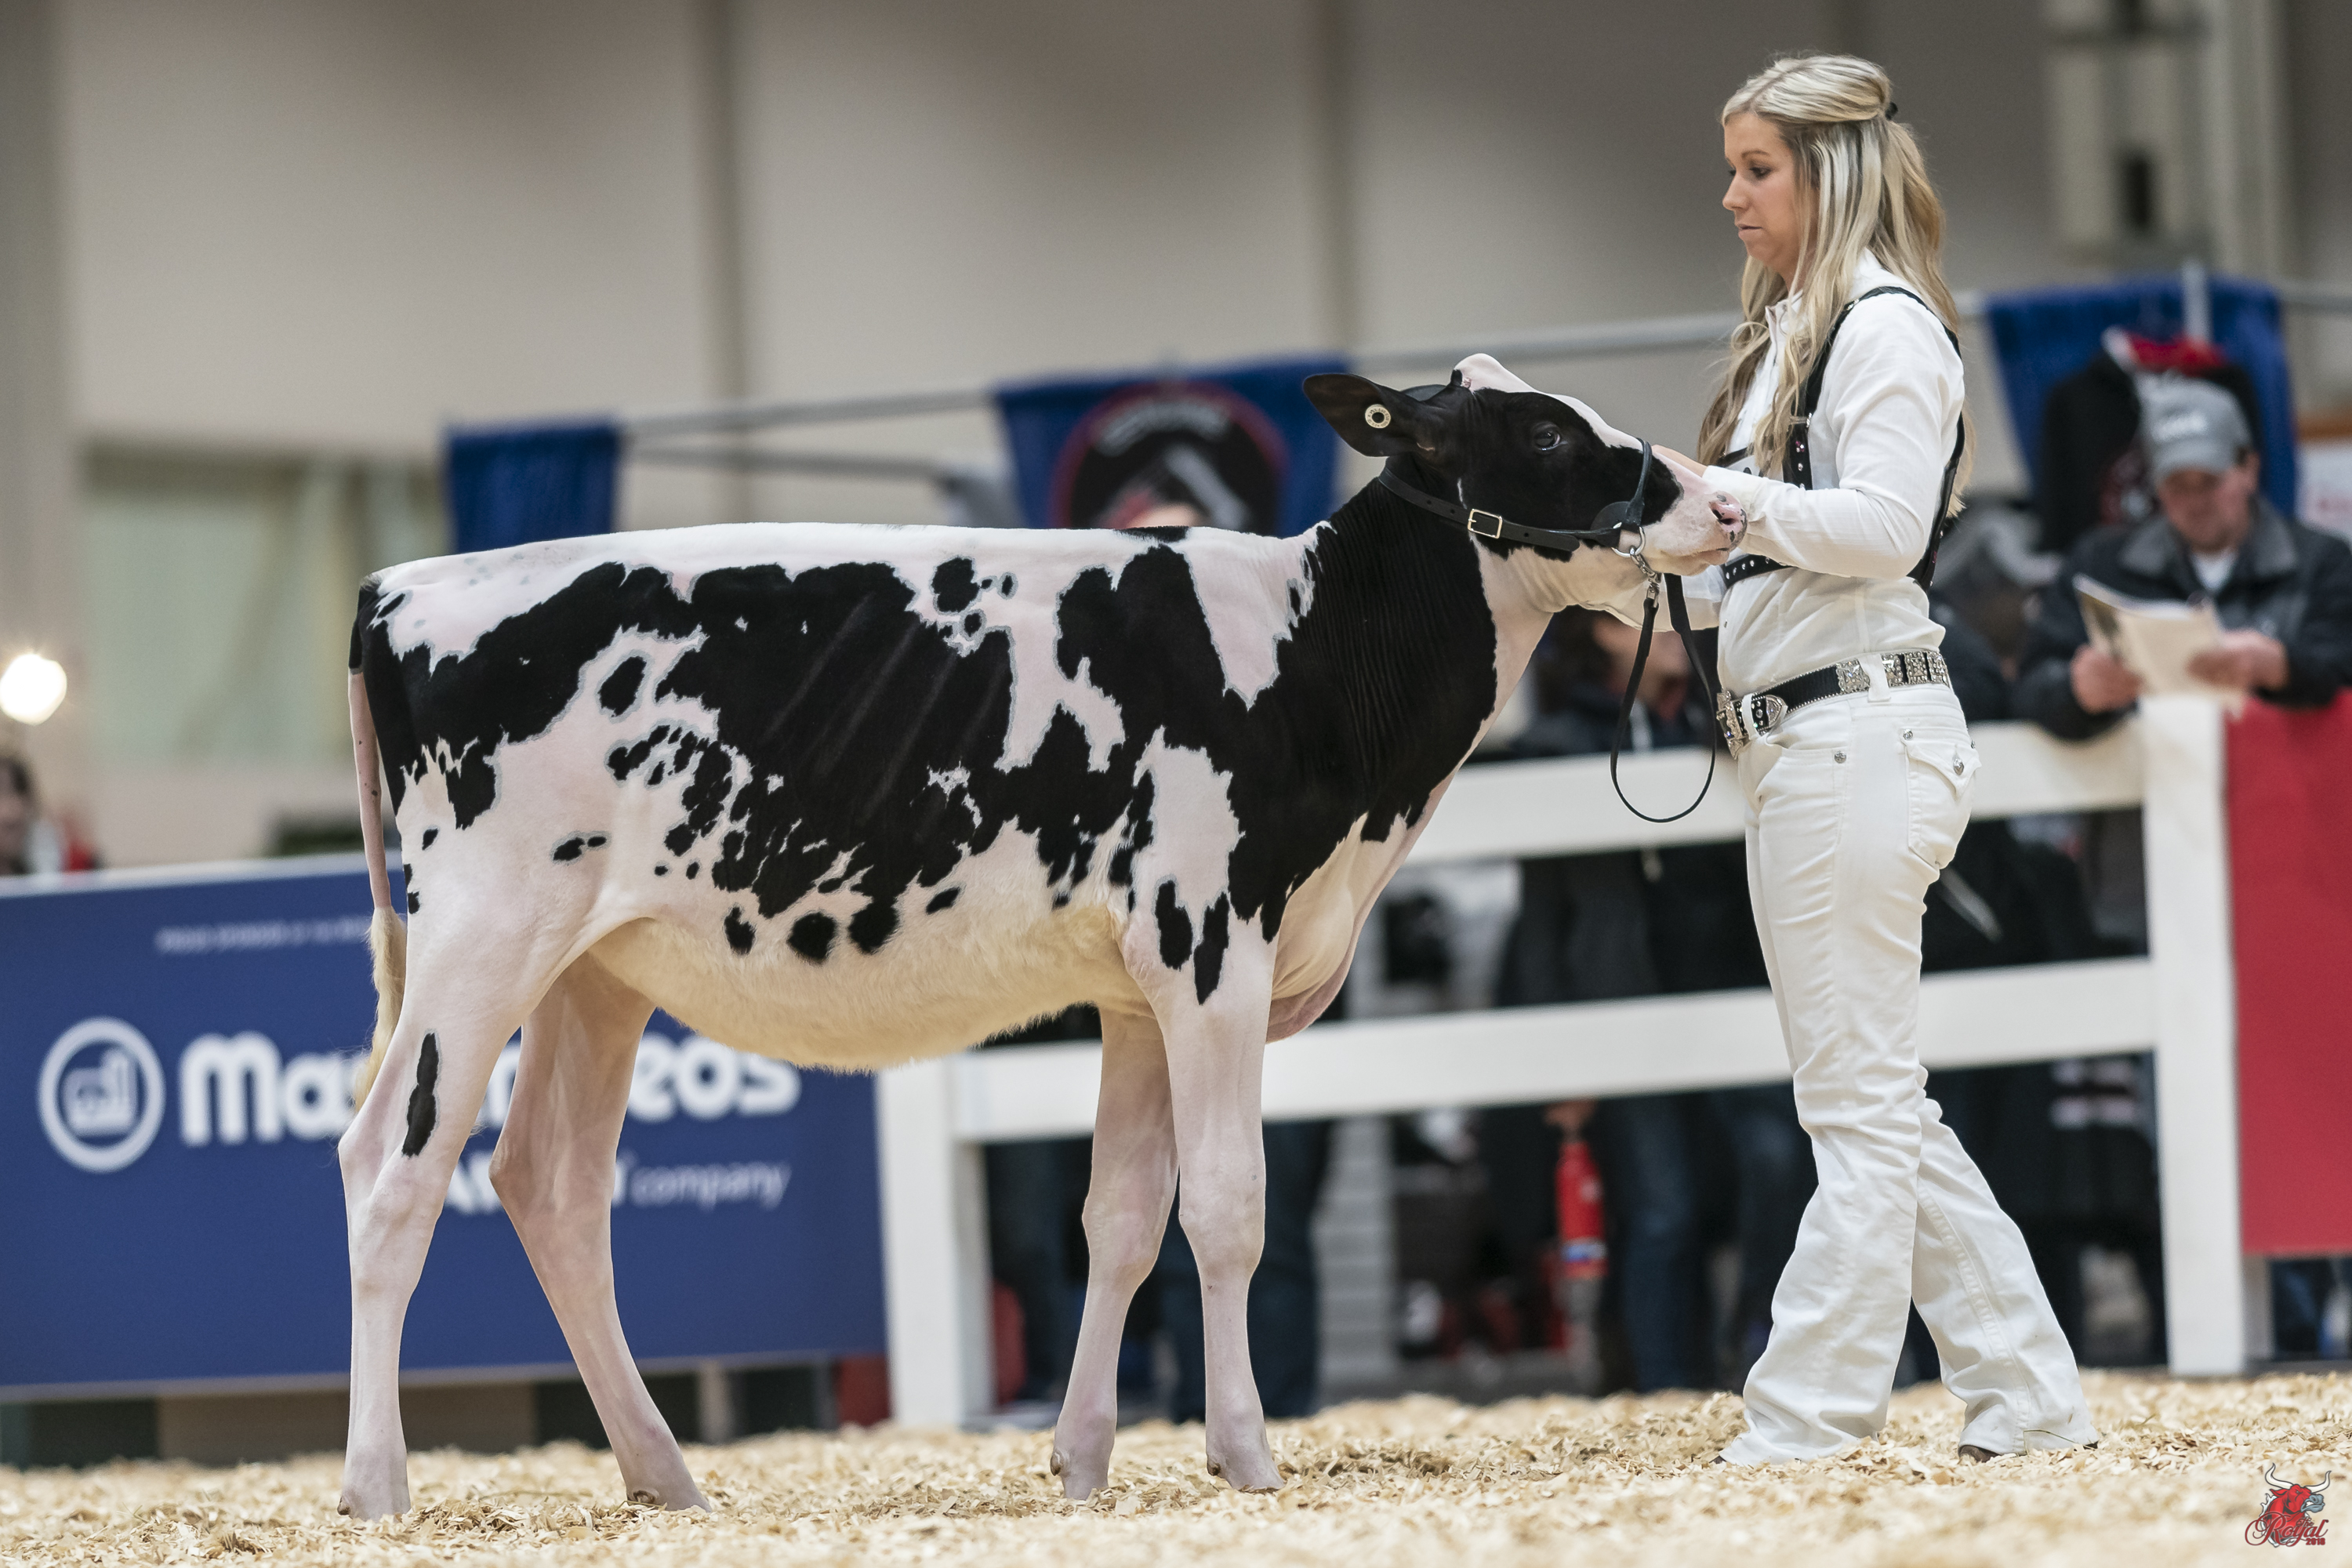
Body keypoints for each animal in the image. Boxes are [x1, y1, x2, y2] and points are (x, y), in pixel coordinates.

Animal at [332, 355, 1745, 1518]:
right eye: (1548, 434)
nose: (1721, 499)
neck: (1313, 650)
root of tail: (401, 586)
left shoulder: (1134, 991)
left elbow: (1120, 1216)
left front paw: (1081, 1461)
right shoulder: (1209, 947)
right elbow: (1226, 1207)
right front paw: (1246, 1453)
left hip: (594, 968)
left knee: (552, 1185)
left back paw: (664, 1475)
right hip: (483, 933)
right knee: (391, 1163)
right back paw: (376, 1486)